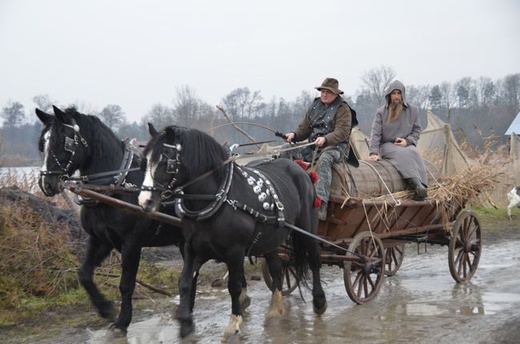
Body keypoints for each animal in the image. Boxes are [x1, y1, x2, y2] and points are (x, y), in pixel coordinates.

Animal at [35, 107, 186, 334]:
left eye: (64, 141)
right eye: (42, 143)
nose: (46, 183)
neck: (115, 187)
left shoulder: (131, 243)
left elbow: (126, 284)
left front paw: (122, 321)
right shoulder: (100, 240)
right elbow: (84, 274)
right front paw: (105, 308)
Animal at [137, 124, 324, 338]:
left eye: (165, 162)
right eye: (144, 163)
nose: (145, 201)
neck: (216, 198)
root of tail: (300, 169)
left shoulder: (234, 251)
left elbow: (233, 286)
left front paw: (234, 321)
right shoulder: (192, 248)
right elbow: (184, 282)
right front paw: (185, 324)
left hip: (306, 226)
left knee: (314, 258)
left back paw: (319, 300)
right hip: (270, 238)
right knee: (277, 267)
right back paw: (276, 307)